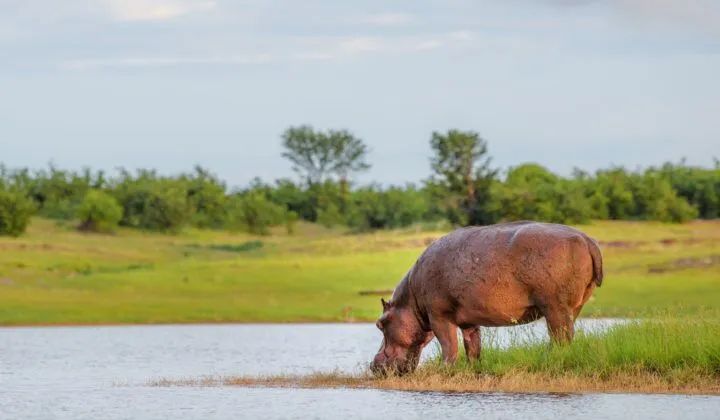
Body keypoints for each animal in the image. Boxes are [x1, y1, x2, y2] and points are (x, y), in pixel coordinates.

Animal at [371, 221, 603, 375]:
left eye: (380, 324)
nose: (372, 365)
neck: (410, 301)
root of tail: (588, 240)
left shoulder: (438, 316)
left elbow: (448, 345)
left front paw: (443, 370)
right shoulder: (468, 321)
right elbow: (472, 346)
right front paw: (473, 369)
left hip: (555, 306)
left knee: (561, 338)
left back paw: (548, 362)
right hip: (574, 306)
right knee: (566, 335)